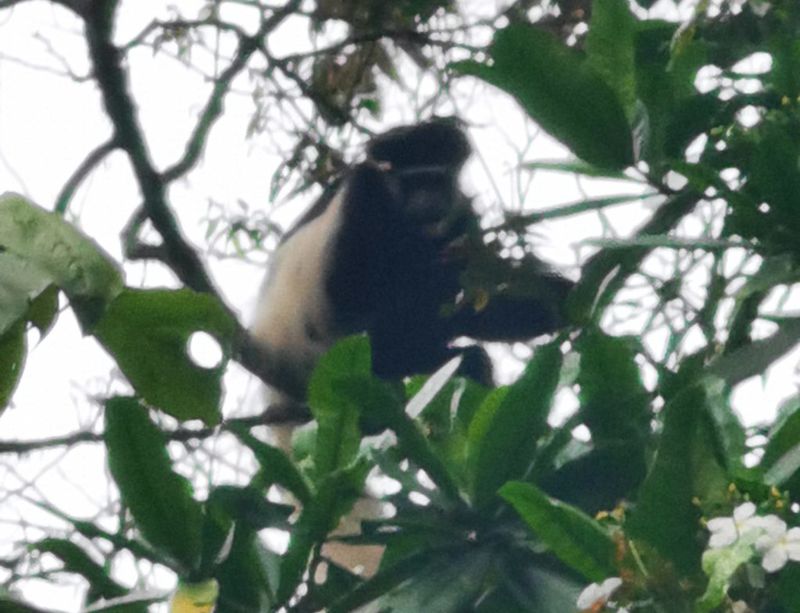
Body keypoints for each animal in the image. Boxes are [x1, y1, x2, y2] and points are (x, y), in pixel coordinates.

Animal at [253, 118, 572, 402]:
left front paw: (560, 298)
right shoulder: (363, 195)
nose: (427, 201)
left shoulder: (462, 215)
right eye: (413, 183)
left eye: (436, 181)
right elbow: (346, 290)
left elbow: (476, 296)